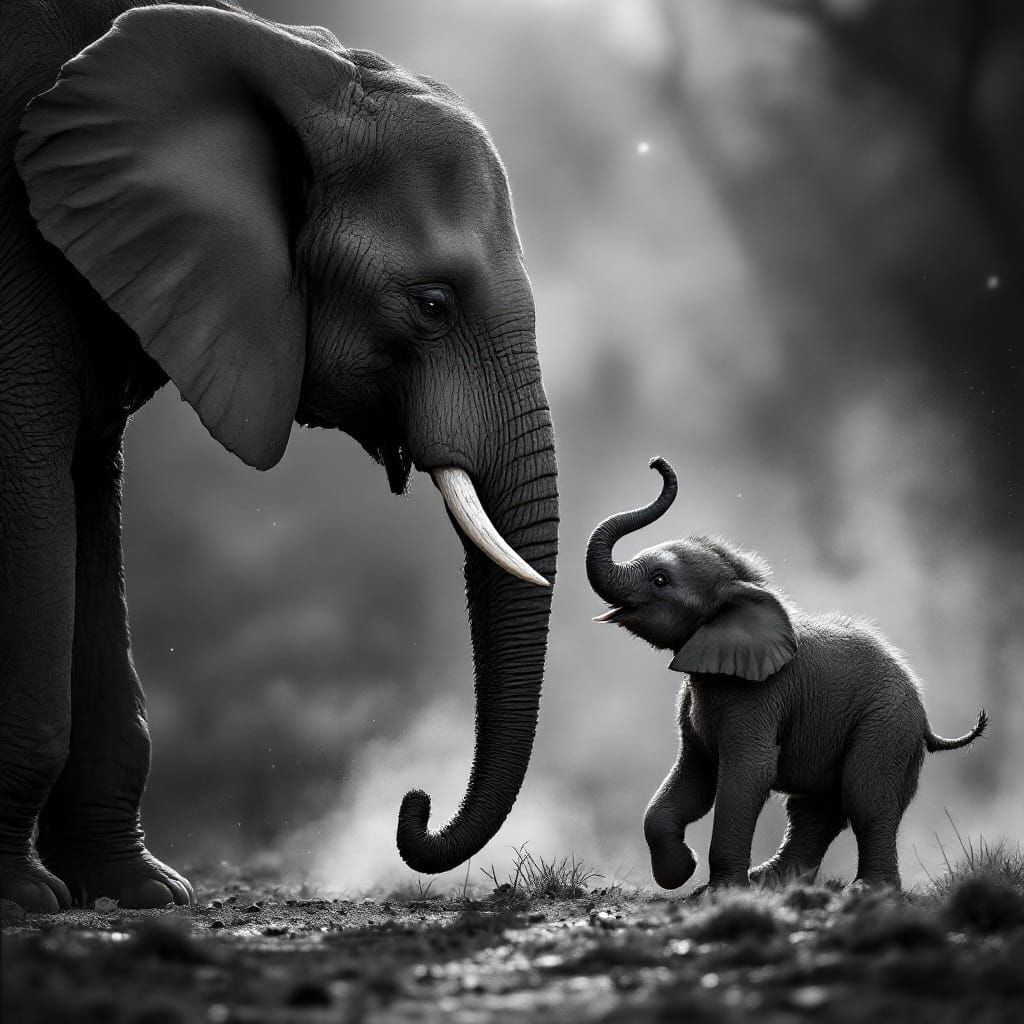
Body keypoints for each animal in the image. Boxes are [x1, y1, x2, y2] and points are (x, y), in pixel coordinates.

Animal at [0, 1, 558, 912]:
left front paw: (144, 894)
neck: (280, 48)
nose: (413, 803)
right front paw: (25, 899)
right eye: (431, 304)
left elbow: (88, 493)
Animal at [586, 458, 987, 891]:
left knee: (865, 798)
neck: (742, 584)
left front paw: (716, 890)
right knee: (814, 810)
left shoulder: (759, 696)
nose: (656, 463)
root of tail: (926, 720)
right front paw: (682, 872)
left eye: (660, 580)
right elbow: (693, 775)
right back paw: (772, 882)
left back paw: (866, 889)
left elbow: (748, 773)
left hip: (887, 727)